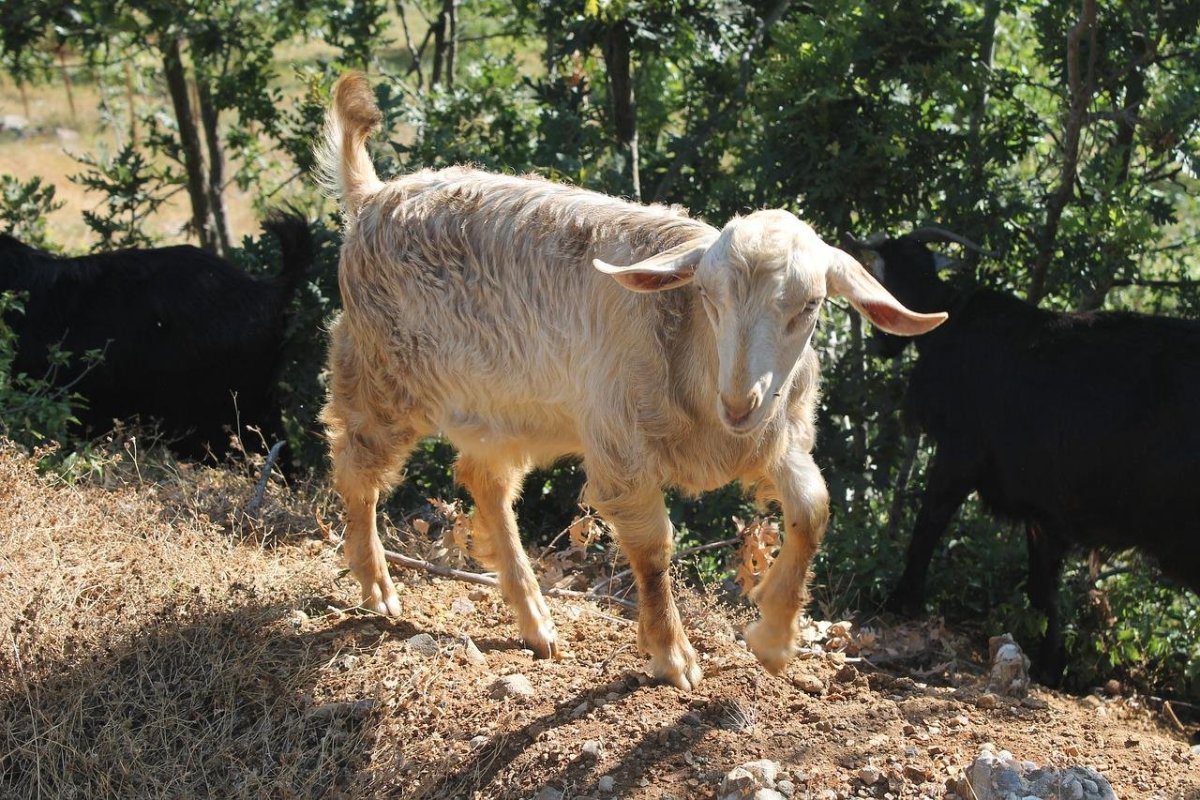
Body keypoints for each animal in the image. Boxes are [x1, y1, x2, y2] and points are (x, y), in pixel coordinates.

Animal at [316, 72, 945, 688]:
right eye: (707, 297)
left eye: (811, 305)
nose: (739, 402)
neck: (696, 361)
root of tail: (371, 195)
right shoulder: (620, 445)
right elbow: (652, 547)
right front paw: (672, 654)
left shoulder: (775, 437)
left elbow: (813, 508)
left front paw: (774, 636)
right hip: (379, 373)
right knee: (356, 465)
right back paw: (378, 586)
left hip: (507, 408)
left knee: (484, 479)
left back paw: (535, 621)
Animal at [856, 230, 1200, 683]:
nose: (883, 343)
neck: (951, 321)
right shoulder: (1043, 507)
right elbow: (1043, 587)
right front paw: (1050, 665)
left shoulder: (961, 452)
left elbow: (928, 523)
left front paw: (900, 600)